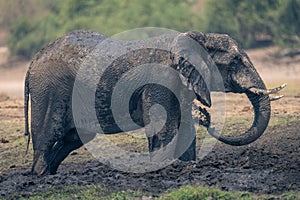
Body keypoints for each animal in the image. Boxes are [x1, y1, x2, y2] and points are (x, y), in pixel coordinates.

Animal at [24, 29, 284, 175]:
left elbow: (184, 127)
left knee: (72, 139)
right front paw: (163, 168)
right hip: (49, 89)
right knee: (47, 135)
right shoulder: (161, 81)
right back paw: (41, 176)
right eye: (236, 61)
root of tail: (34, 59)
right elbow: (165, 127)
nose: (205, 115)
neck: (195, 36)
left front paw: (185, 167)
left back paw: (50, 174)